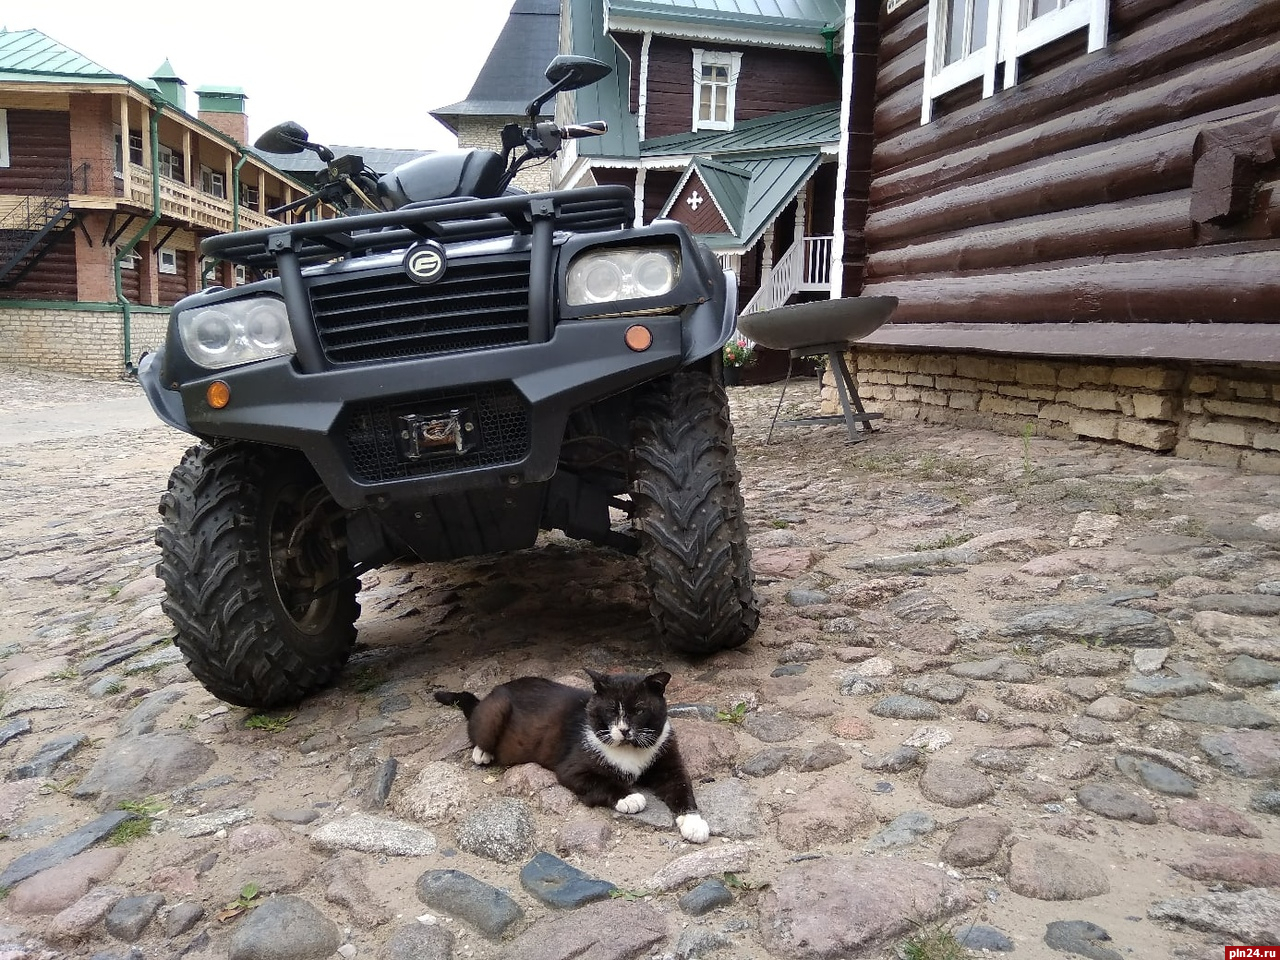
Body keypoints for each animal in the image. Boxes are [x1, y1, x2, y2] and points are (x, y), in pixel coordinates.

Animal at [432, 670, 711, 844]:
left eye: (640, 710)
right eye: (611, 710)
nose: (623, 730)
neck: (629, 750)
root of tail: (492, 692)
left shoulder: (668, 761)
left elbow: (681, 787)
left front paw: (694, 823)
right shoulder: (572, 769)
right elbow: (603, 782)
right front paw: (630, 797)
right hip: (494, 712)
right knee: (477, 730)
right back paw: (482, 752)